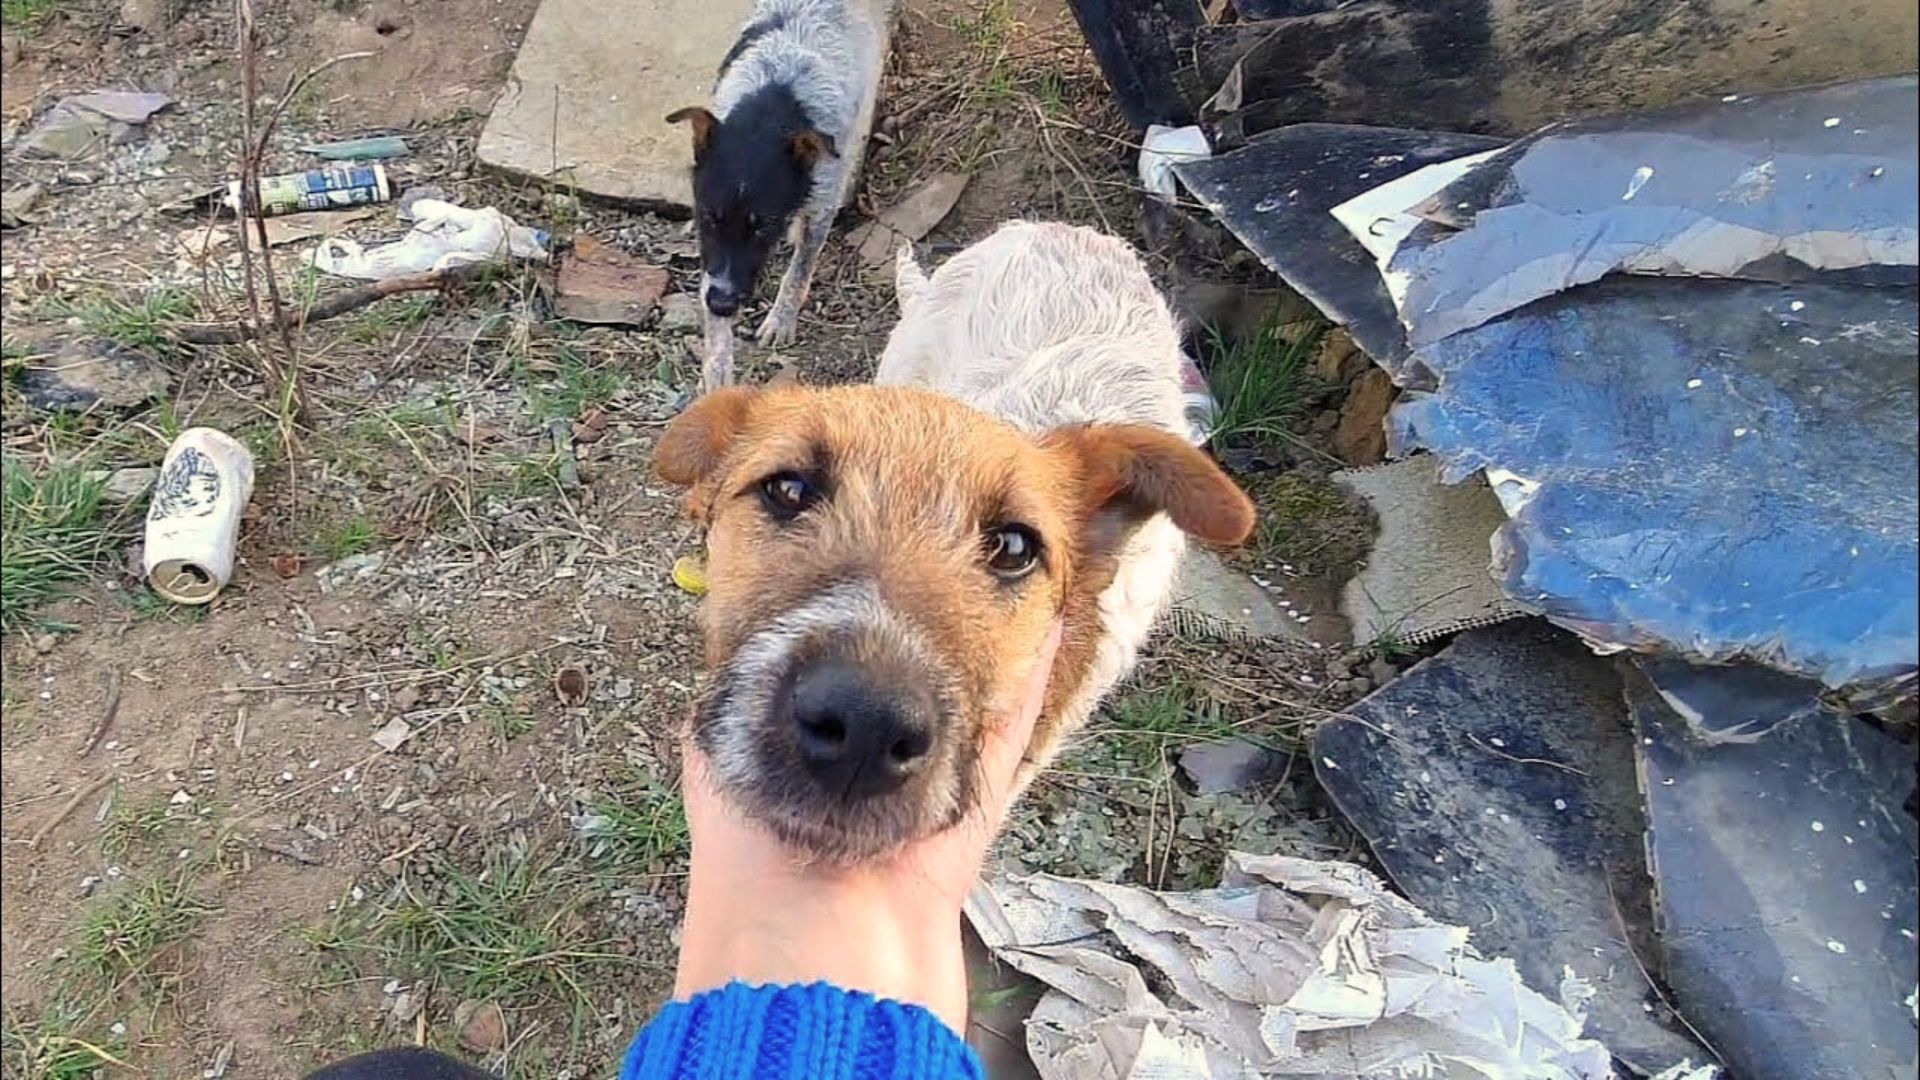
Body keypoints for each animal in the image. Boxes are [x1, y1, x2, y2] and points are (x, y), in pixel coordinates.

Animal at [668, 0, 890, 390]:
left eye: (763, 225)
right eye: (708, 216)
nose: (722, 305)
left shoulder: (823, 203)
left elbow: (801, 267)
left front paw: (780, 320)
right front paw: (716, 376)